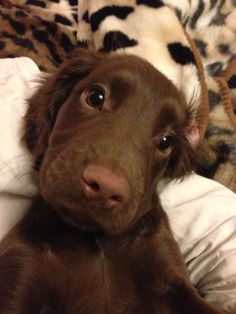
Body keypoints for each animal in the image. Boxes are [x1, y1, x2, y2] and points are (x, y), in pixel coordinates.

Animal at [0, 50, 225, 312]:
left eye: (166, 142)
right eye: (95, 97)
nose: (105, 188)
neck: (96, 240)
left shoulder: (173, 277)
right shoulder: (21, 267)